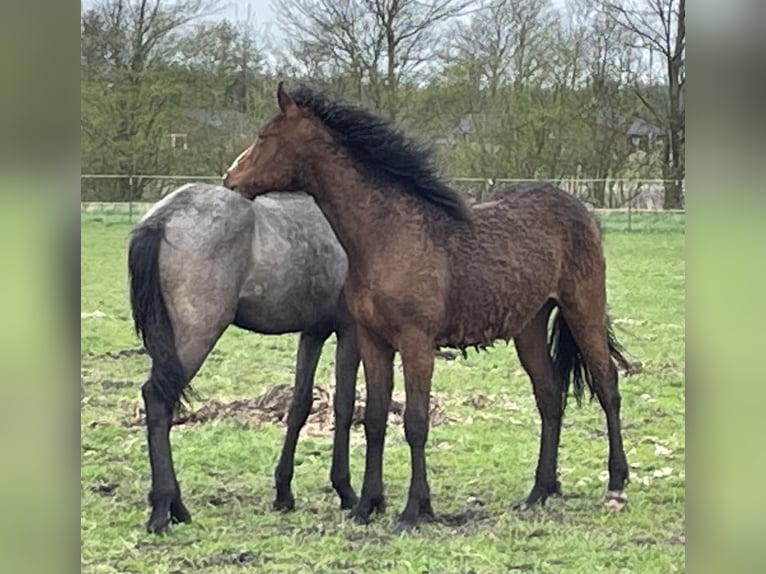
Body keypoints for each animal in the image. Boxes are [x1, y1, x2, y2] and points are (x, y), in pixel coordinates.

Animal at [127, 184, 362, 536]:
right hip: (196, 336)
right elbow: (344, 406)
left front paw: (283, 494)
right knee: (157, 398)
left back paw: (175, 507)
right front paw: (346, 491)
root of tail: (162, 219)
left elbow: (299, 406)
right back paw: (163, 510)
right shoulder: (350, 333)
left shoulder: (313, 332)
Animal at [222, 83, 632, 532]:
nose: (229, 180)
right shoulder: (372, 342)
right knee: (549, 394)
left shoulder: (416, 343)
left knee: (607, 385)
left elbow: (416, 423)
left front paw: (412, 511)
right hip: (529, 324)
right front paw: (367, 505)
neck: (389, 235)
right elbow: (375, 419)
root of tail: (582, 211)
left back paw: (616, 485)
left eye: (264, 136)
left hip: (583, 307)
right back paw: (538, 492)